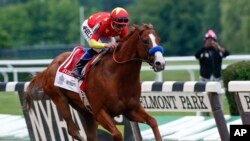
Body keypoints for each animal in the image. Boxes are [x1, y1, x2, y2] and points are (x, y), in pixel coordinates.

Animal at [24, 24, 166, 141]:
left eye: (158, 39)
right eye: (145, 41)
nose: (160, 63)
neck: (118, 77)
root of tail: (49, 66)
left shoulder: (131, 109)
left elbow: (153, 122)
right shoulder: (100, 112)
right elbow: (117, 134)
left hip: (85, 110)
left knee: (90, 135)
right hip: (60, 100)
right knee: (73, 130)